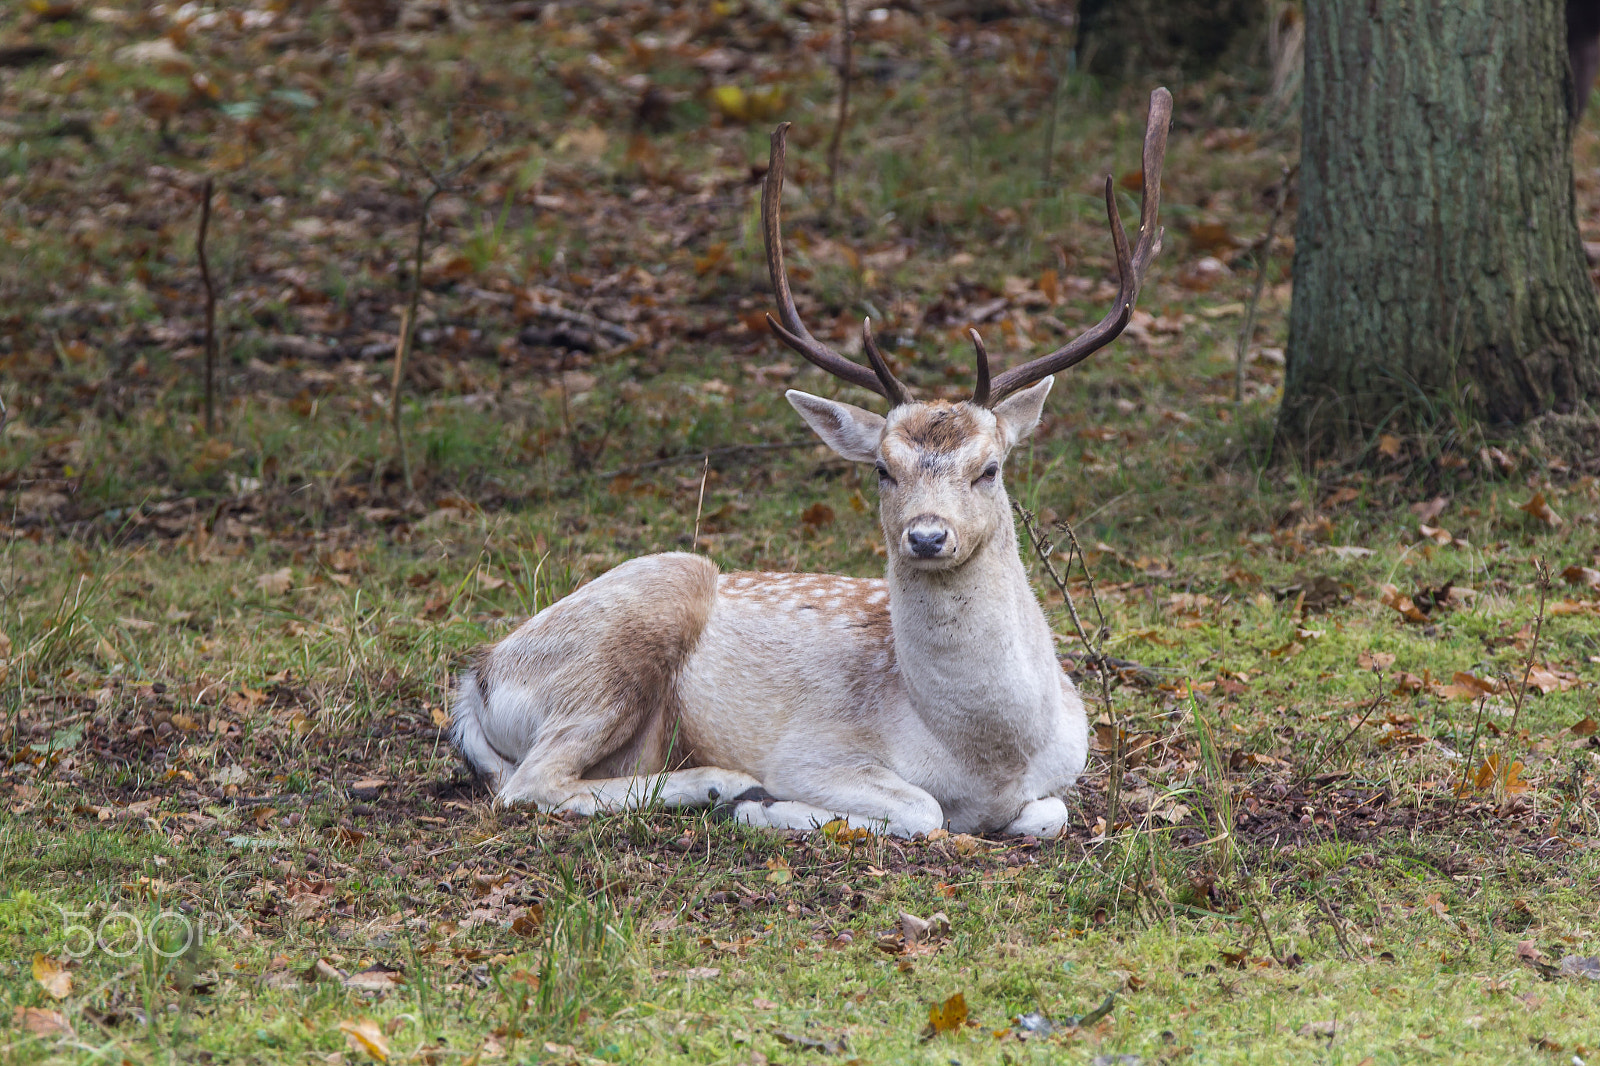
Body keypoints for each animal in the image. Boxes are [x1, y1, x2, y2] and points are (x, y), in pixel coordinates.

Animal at [449, 88, 1171, 838]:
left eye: (990, 468)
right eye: (882, 468)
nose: (927, 536)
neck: (991, 758)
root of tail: (479, 677)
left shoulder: (1064, 768)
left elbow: (1048, 813)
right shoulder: (812, 749)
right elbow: (921, 809)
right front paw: (769, 805)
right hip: (622, 637)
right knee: (529, 783)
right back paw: (720, 784)